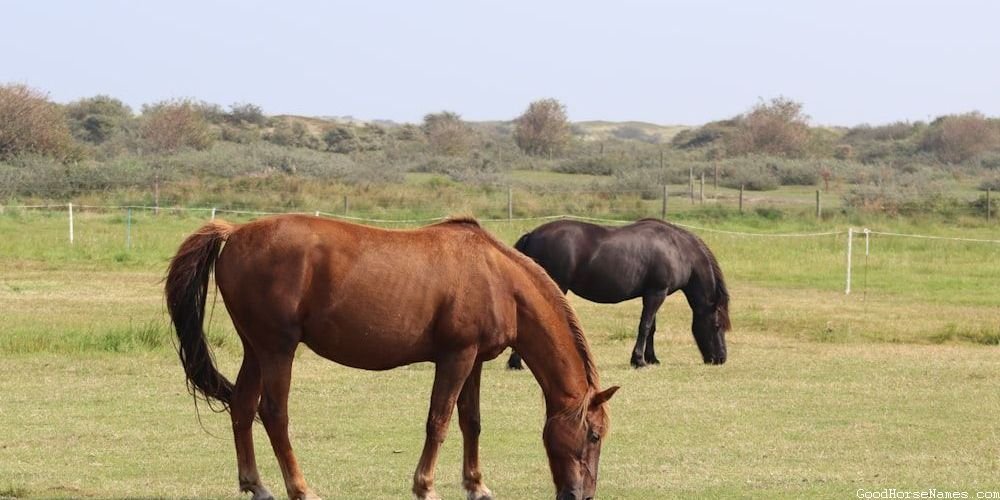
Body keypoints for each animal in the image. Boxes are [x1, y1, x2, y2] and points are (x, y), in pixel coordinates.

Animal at [165, 217, 616, 500]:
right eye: (593, 436)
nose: (581, 495)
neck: (498, 278)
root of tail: (236, 232)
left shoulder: (474, 360)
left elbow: (471, 422)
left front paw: (476, 485)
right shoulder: (455, 357)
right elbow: (439, 421)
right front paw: (425, 486)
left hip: (255, 349)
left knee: (242, 409)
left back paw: (256, 485)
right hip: (278, 349)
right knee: (274, 415)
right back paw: (301, 488)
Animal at [508, 217, 728, 370]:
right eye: (717, 326)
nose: (721, 358)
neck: (677, 249)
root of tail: (532, 235)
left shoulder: (653, 293)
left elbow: (651, 327)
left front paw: (652, 358)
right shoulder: (657, 293)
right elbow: (645, 326)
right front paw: (639, 360)